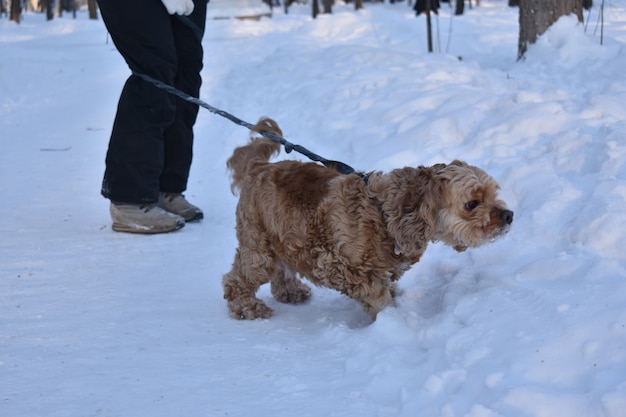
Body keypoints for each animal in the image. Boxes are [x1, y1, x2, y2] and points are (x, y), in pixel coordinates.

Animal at [222, 118, 510, 320]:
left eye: (494, 194)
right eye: (472, 204)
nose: (509, 215)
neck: (387, 216)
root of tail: (258, 166)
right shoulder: (342, 267)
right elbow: (376, 295)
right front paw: (390, 317)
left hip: (282, 238)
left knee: (281, 269)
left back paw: (290, 292)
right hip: (258, 247)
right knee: (237, 279)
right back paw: (248, 307)